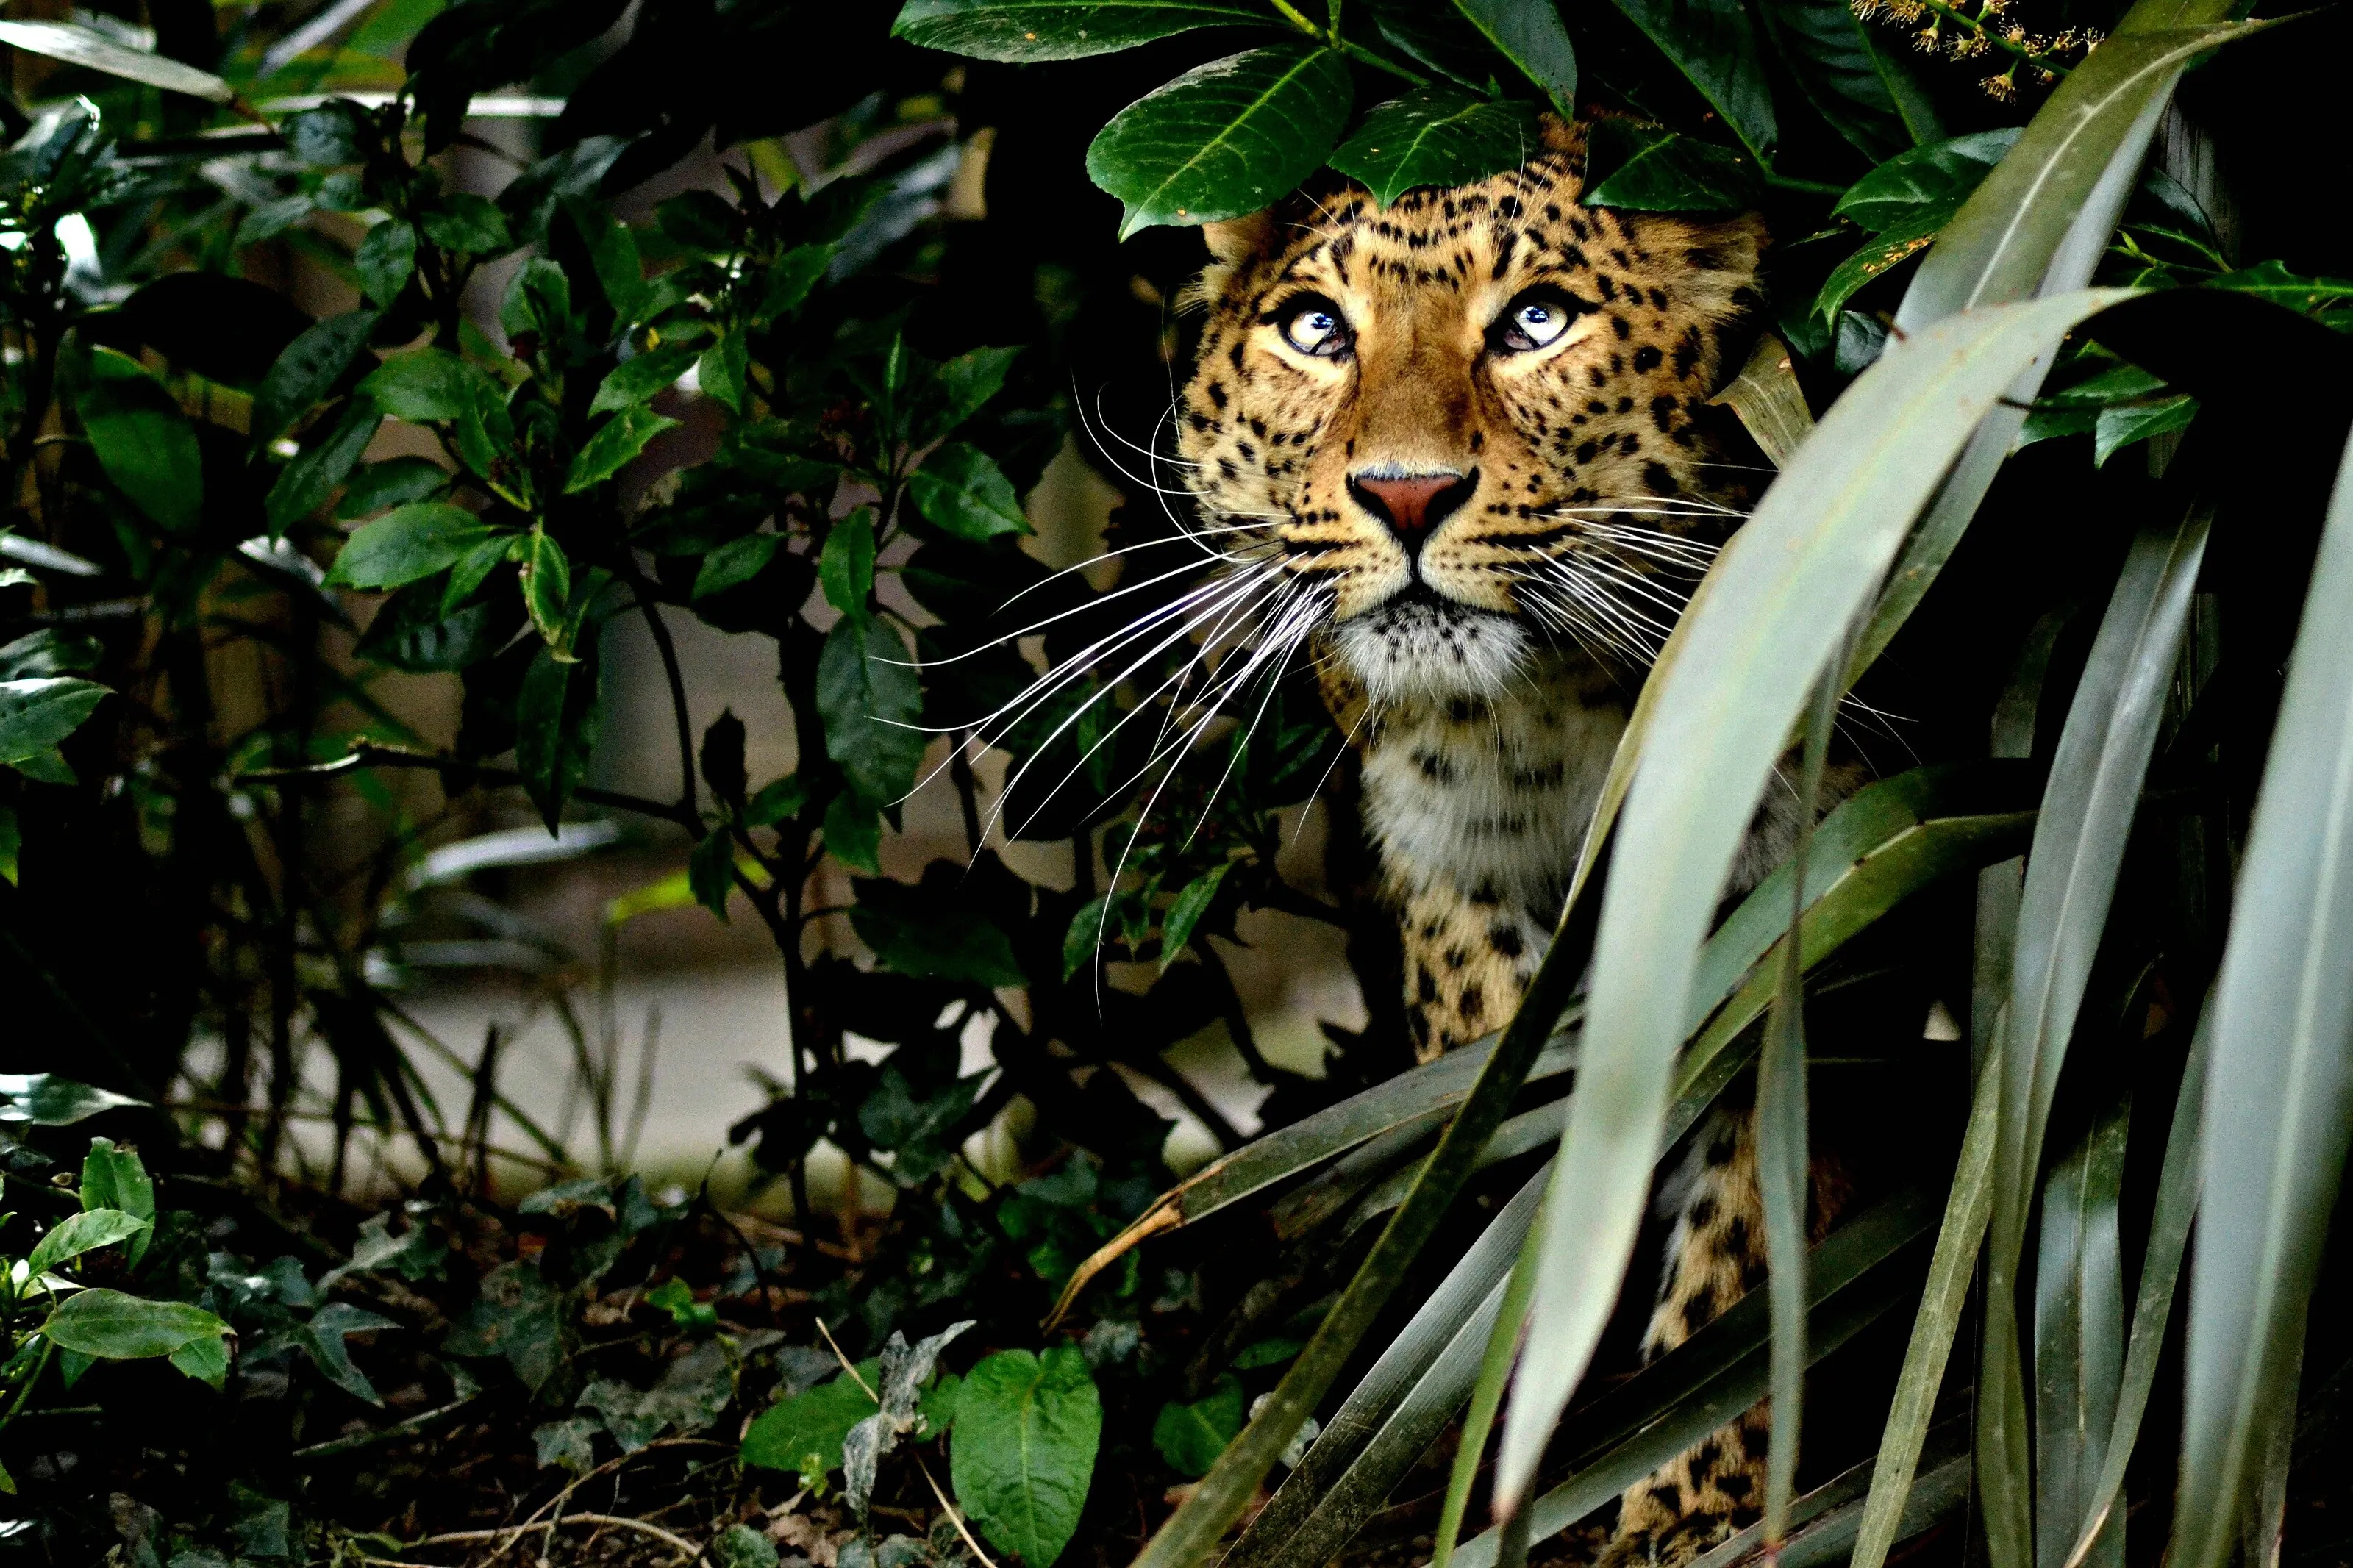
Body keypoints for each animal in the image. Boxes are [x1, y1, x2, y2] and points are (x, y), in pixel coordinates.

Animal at [1170, 117, 1816, 1568]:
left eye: (1535, 320)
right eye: (1316, 328)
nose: (1406, 493)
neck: (1560, 709)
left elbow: (1747, 1204)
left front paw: (1691, 1493)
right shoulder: (1439, 859)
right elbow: (1502, 1081)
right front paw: (1519, 1395)